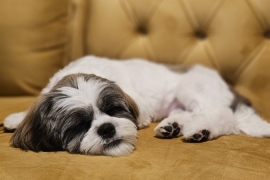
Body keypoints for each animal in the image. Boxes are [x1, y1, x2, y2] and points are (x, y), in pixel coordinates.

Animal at [3, 55, 270, 155]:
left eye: (113, 111)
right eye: (80, 124)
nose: (107, 128)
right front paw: (16, 118)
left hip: (192, 88)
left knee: (222, 116)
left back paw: (200, 130)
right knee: (192, 113)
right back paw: (173, 126)